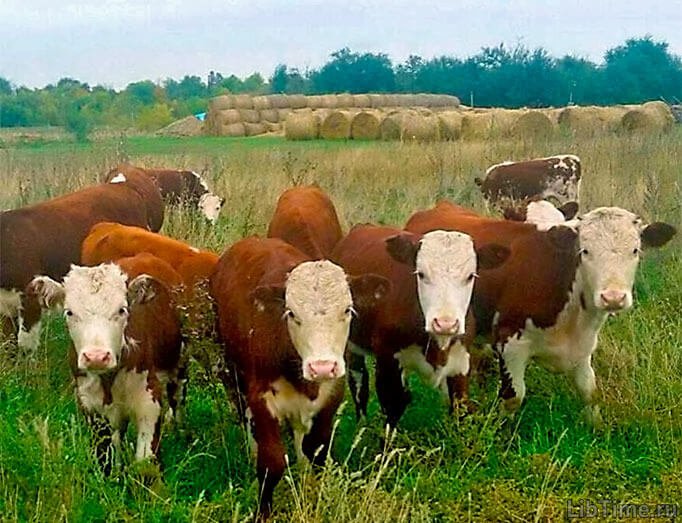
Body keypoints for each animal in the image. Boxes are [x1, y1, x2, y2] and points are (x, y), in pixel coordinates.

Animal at [26, 262, 183, 474]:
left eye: (122, 310)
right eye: (69, 312)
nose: (96, 357)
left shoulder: (149, 400)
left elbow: (145, 462)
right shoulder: (90, 405)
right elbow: (105, 458)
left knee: (177, 401)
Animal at [210, 236, 388, 519]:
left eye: (348, 310)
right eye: (291, 313)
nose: (322, 367)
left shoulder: (331, 397)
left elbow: (317, 452)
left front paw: (312, 494)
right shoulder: (261, 397)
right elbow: (271, 462)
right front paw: (263, 511)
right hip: (230, 368)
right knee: (243, 413)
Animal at [330, 224, 510, 426]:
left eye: (470, 276)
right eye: (421, 274)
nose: (445, 324)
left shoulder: (461, 363)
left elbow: (460, 409)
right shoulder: (387, 360)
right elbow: (392, 408)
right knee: (359, 383)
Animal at [405, 201, 676, 423]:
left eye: (635, 251)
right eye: (585, 251)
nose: (613, 297)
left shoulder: (583, 347)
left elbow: (590, 391)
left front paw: (598, 429)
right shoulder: (509, 342)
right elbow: (513, 397)